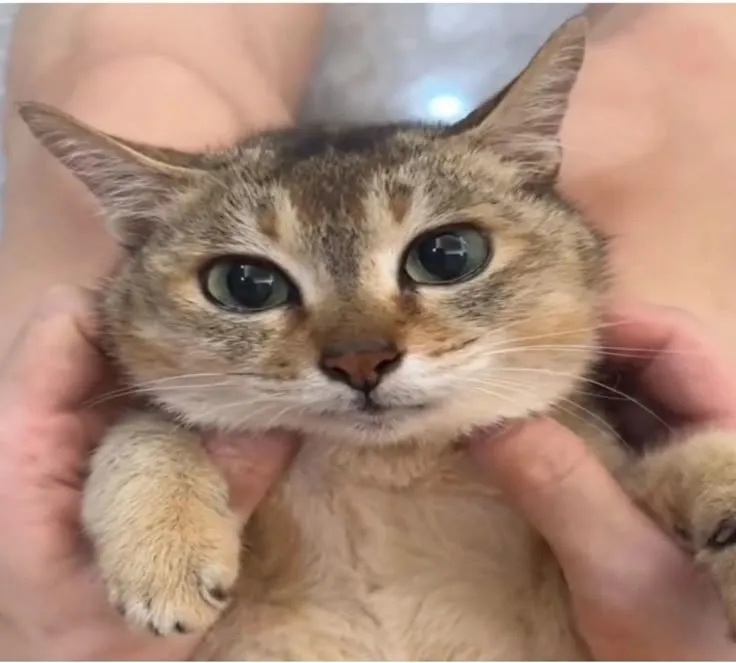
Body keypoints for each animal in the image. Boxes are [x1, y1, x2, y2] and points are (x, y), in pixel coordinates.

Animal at [19, 16, 736, 660]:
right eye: (246, 284)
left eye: (448, 255)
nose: (361, 361)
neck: (381, 475)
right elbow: (143, 427)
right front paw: (164, 552)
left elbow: (685, 457)